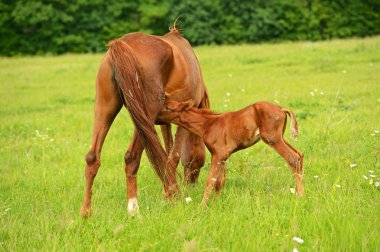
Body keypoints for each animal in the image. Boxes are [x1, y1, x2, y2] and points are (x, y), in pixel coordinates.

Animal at [81, 26, 209, 218]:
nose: (191, 184)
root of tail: (122, 44)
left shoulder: (164, 122)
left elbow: (166, 155)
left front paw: (169, 193)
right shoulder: (181, 118)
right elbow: (173, 156)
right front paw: (169, 196)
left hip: (105, 109)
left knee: (92, 157)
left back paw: (86, 213)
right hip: (144, 117)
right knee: (132, 158)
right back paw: (133, 210)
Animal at [157, 99, 302, 206]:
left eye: (167, 106)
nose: (155, 117)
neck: (208, 124)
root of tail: (281, 109)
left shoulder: (218, 155)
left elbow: (210, 181)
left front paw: (202, 207)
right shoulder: (224, 157)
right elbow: (219, 182)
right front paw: (215, 205)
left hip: (272, 139)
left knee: (293, 158)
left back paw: (299, 195)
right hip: (280, 137)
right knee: (300, 154)